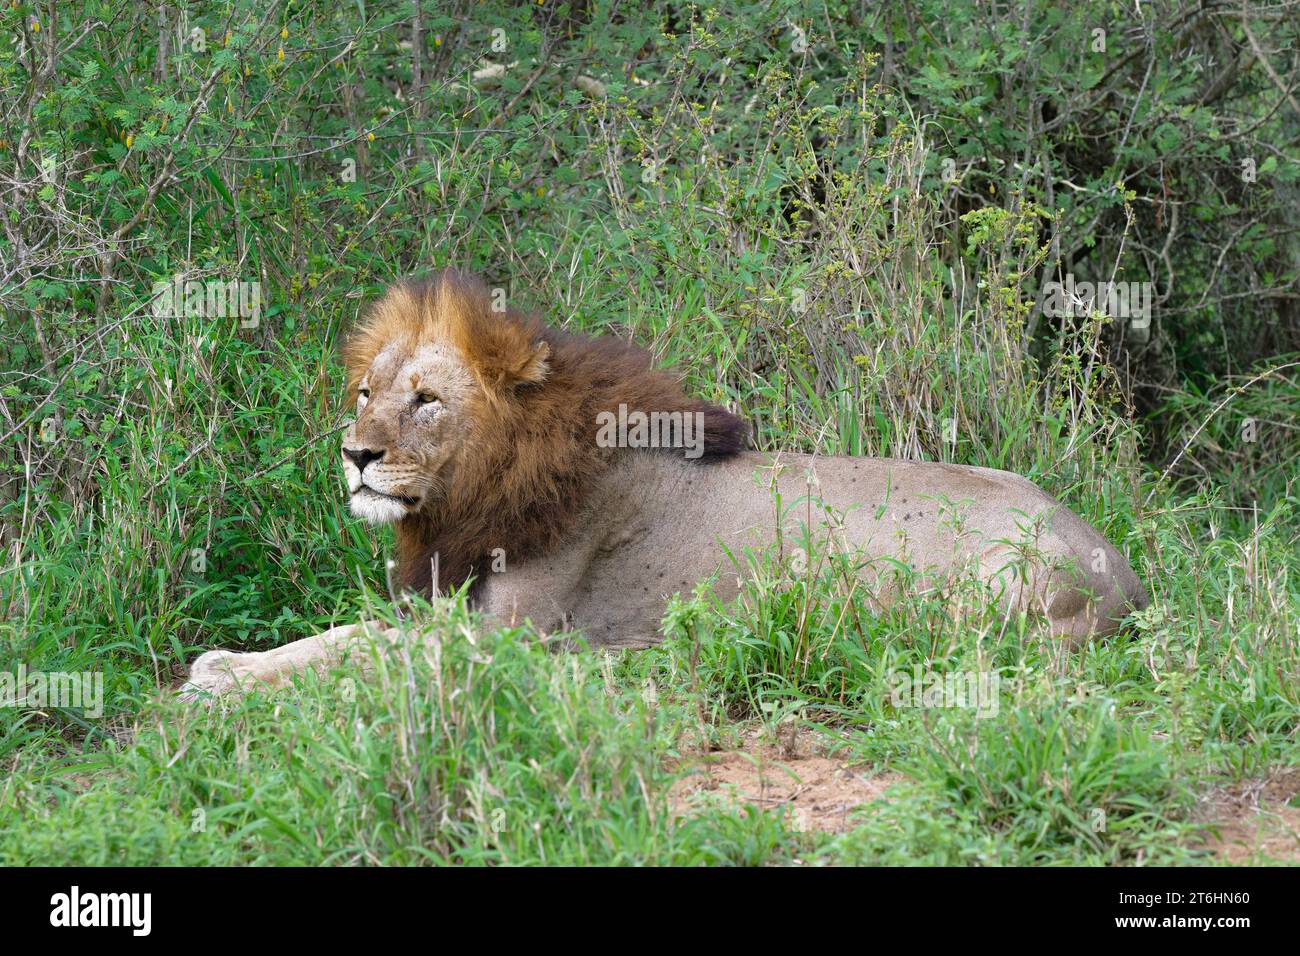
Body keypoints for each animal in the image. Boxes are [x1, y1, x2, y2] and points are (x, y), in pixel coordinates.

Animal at [185, 267, 1149, 697]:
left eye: (425, 401)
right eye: (365, 393)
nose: (356, 454)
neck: (476, 495)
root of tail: (1126, 574)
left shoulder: (507, 641)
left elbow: (359, 649)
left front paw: (223, 676)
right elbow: (345, 632)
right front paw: (231, 662)